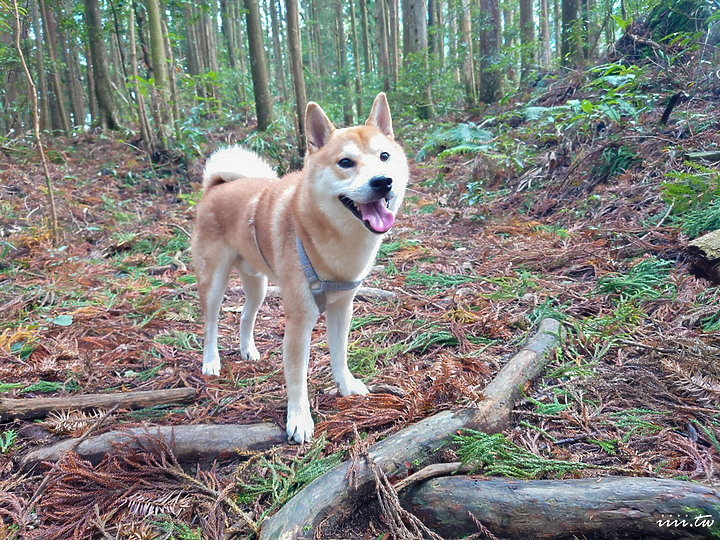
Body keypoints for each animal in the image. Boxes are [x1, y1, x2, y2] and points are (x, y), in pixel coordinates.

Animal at [191, 93, 408, 442]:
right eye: (345, 163)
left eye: (384, 156)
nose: (382, 181)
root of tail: (217, 185)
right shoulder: (299, 320)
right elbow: (296, 377)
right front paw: (299, 419)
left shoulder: (342, 307)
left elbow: (339, 354)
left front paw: (346, 386)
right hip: (213, 282)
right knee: (210, 325)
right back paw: (211, 362)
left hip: (259, 285)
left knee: (245, 316)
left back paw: (248, 350)